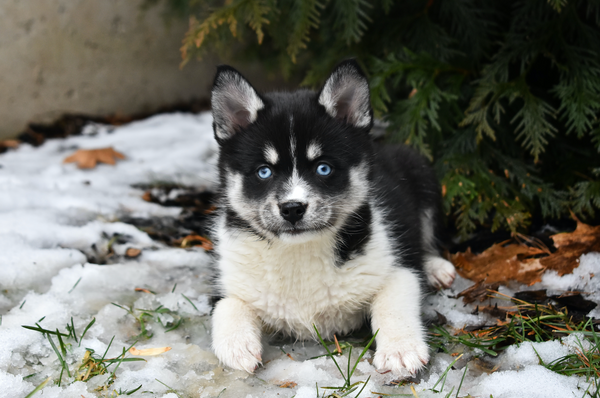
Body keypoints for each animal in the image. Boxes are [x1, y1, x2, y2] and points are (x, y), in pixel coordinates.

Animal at [207, 59, 454, 376]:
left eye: (323, 168)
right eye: (264, 171)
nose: (292, 208)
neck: (299, 252)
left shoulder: (397, 266)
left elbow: (394, 304)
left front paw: (400, 350)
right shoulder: (227, 280)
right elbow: (227, 306)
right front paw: (236, 347)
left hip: (422, 173)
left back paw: (435, 267)